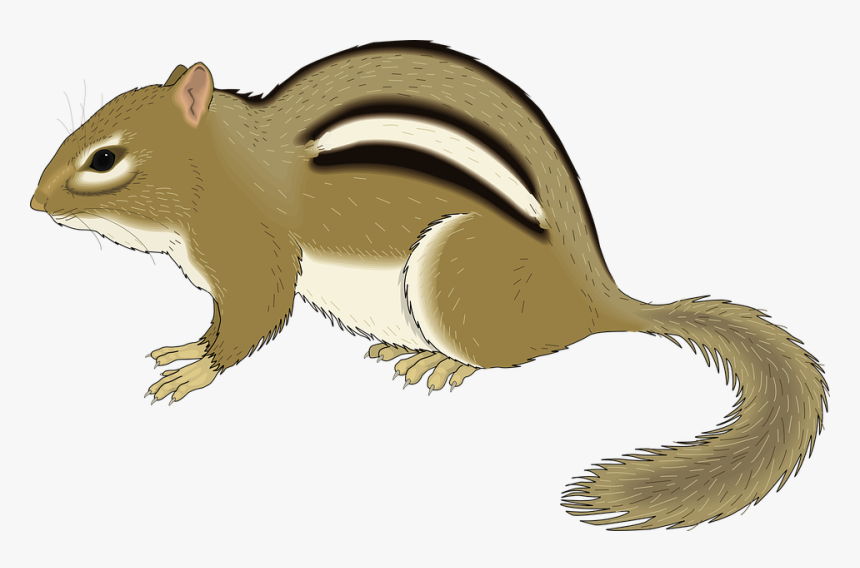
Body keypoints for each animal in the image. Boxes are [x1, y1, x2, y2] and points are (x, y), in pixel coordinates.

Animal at [31, 41, 828, 530]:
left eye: (104, 159)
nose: (34, 204)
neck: (223, 164)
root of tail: (592, 295)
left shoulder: (252, 252)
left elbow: (256, 315)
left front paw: (197, 365)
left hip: (456, 275)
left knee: (500, 359)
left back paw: (442, 363)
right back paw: (404, 352)